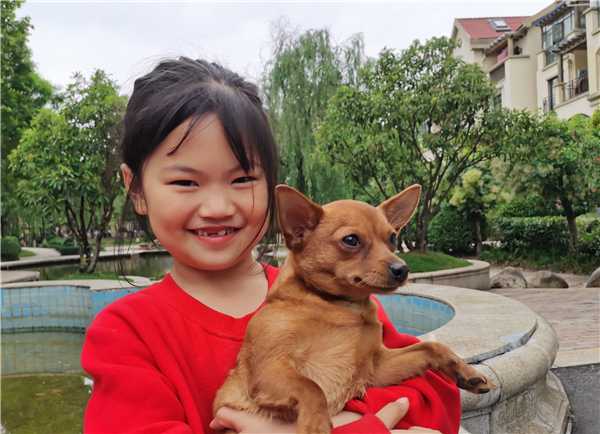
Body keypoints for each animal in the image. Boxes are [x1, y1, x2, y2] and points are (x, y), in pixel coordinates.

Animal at [214, 184, 495, 434]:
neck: (340, 306)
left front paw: (466, 371)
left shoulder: (377, 369)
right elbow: (311, 388)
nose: (402, 269)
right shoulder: (269, 367)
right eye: (351, 240)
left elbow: (431, 346)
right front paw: (315, 426)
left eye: (393, 238)